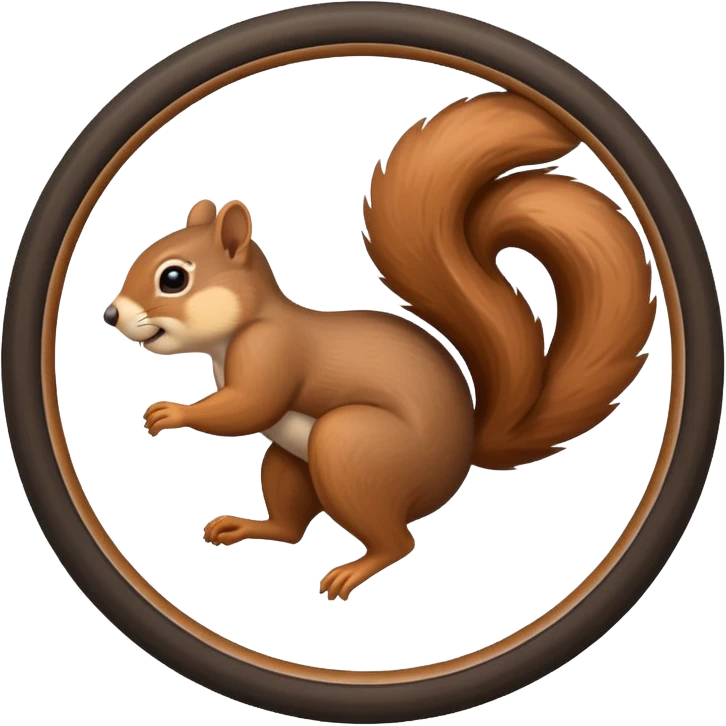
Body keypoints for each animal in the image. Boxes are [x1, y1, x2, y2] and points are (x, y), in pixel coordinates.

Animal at [104, 91, 656, 601]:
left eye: (173, 278)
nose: (111, 315)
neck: (242, 324)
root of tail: (460, 457)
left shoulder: (273, 351)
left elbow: (248, 406)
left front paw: (172, 413)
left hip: (351, 448)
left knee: (397, 542)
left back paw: (352, 572)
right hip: (292, 461)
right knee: (292, 525)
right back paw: (249, 526)